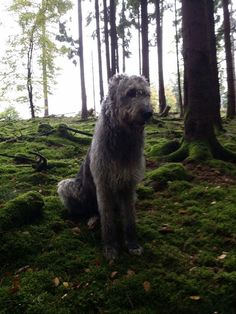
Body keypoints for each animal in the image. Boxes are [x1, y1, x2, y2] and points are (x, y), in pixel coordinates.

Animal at [58, 74, 152, 260]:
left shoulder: (128, 184)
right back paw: (93, 218)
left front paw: (132, 244)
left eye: (146, 94)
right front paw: (110, 247)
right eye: (131, 93)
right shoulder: (103, 184)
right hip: (69, 186)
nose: (149, 113)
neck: (122, 139)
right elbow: (107, 219)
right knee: (91, 209)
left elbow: (129, 216)